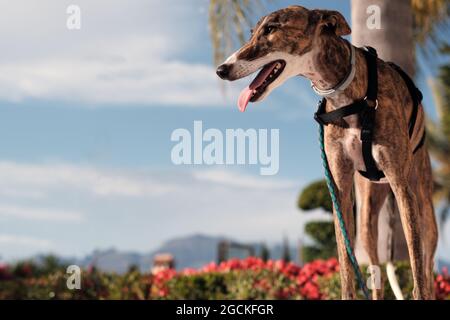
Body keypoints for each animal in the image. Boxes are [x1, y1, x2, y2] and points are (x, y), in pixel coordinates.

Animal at [216, 5, 438, 300]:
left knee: (426, 264)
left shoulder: (402, 189)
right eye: (253, 32)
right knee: (376, 274)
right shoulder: (340, 191)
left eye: (271, 29)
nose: (221, 70)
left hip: (422, 202)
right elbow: (345, 268)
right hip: (367, 215)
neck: (349, 93)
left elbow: (417, 270)